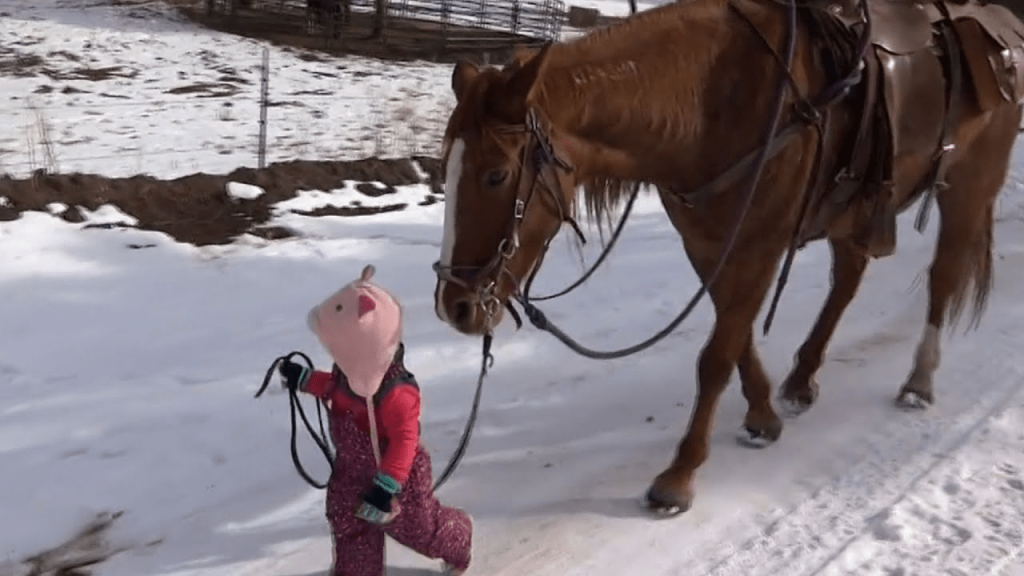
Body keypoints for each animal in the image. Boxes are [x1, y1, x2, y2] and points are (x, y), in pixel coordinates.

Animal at [428, 0, 1024, 516]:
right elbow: (735, 338)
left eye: (496, 174)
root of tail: (1004, 29)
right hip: (854, 209)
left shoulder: (760, 243)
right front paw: (762, 416)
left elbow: (716, 355)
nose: (454, 306)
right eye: (446, 167)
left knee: (943, 276)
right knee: (847, 280)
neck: (712, 100)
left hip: (969, 182)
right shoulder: (708, 245)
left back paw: (918, 382)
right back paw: (802, 378)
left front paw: (679, 476)